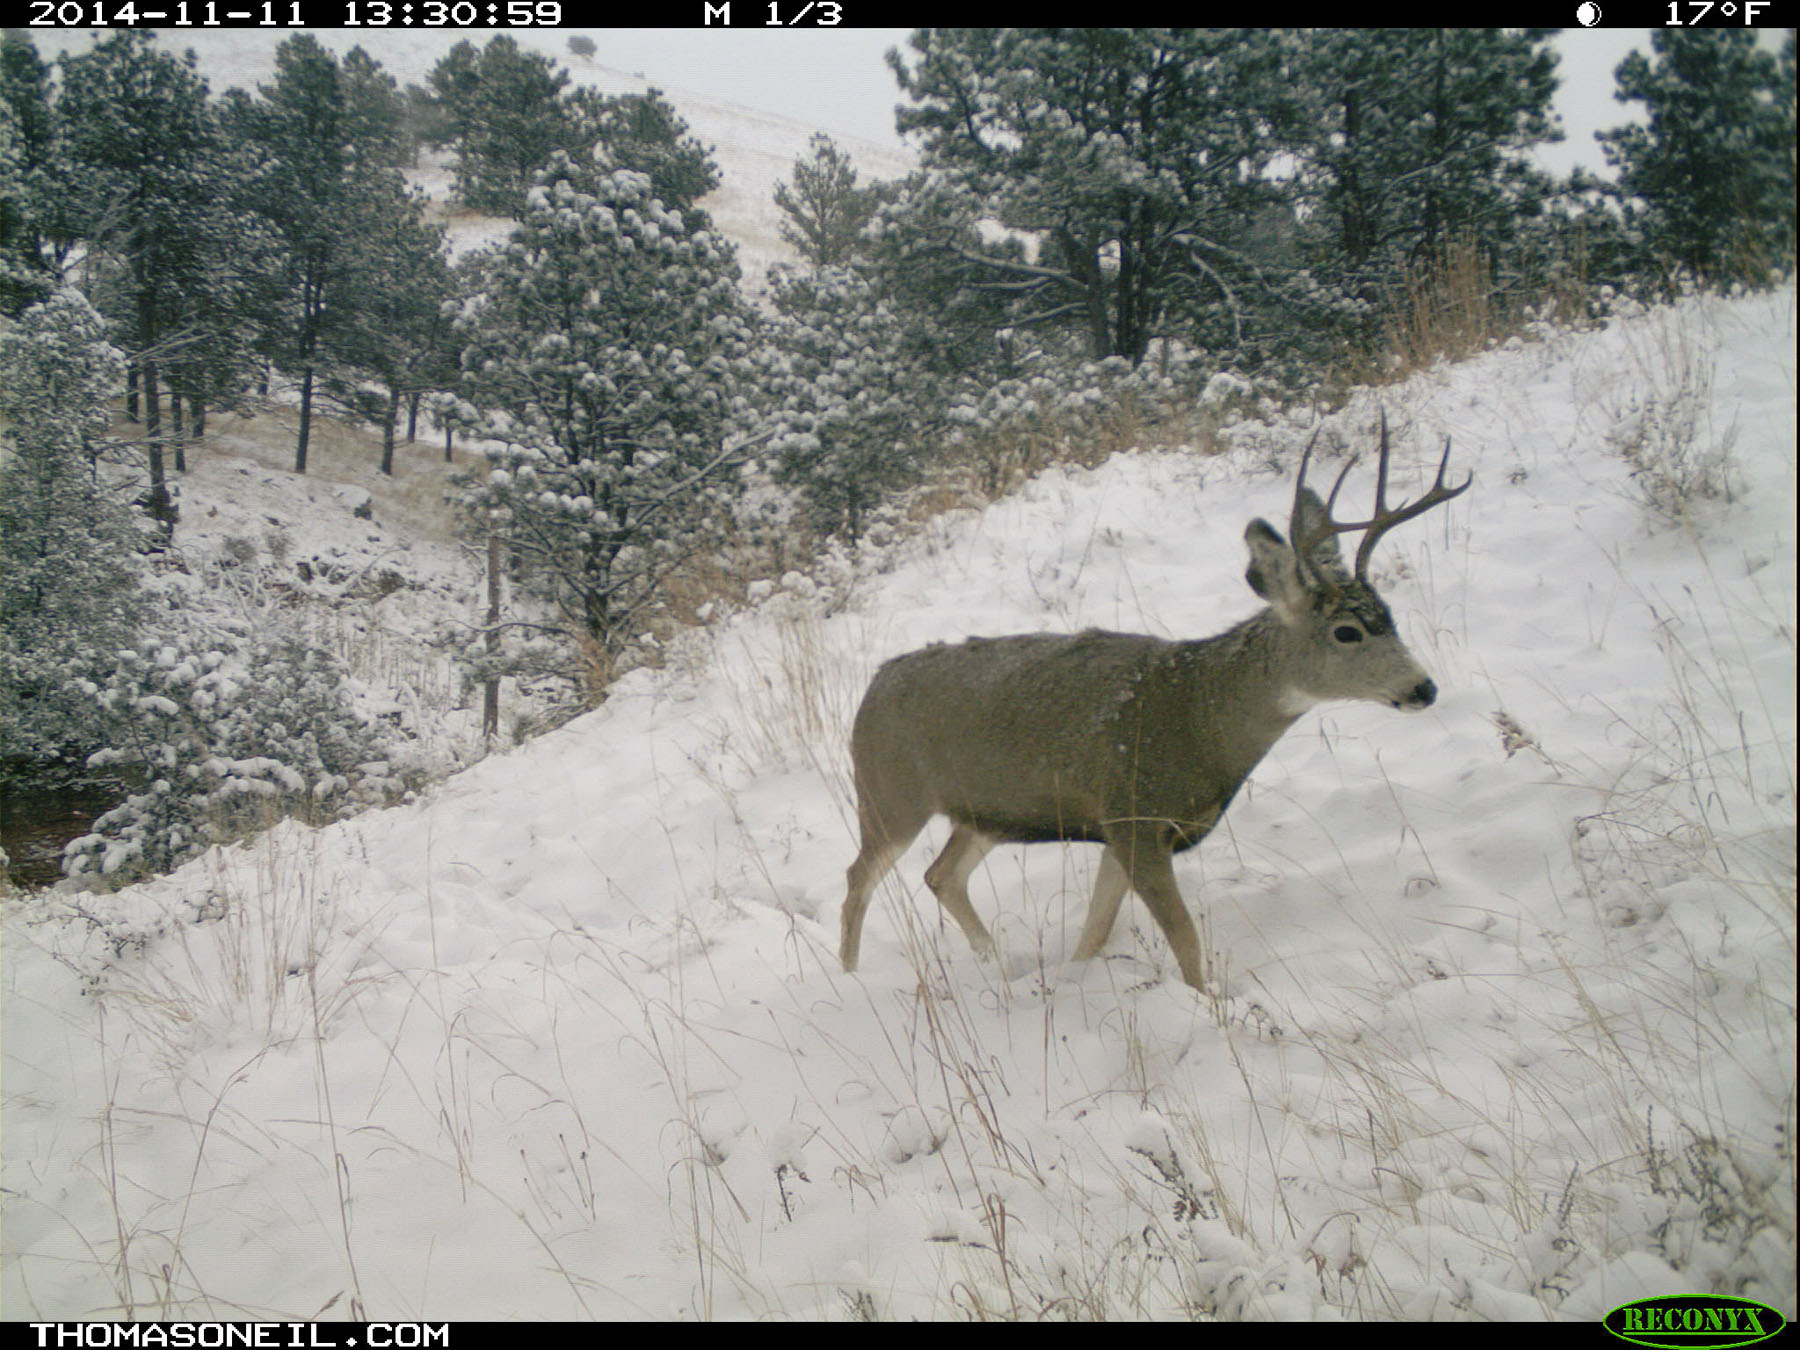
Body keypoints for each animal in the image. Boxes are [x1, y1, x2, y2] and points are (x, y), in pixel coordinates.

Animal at [838, 414, 1469, 990]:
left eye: (1388, 616)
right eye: (1346, 631)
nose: (1423, 687)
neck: (1200, 716)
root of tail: (870, 689)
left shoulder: (1119, 827)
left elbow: (1095, 930)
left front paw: (1075, 980)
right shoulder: (1134, 813)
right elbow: (1184, 937)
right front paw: (1208, 1006)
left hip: (986, 813)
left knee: (941, 875)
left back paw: (996, 961)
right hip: (889, 794)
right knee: (858, 878)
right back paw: (850, 978)